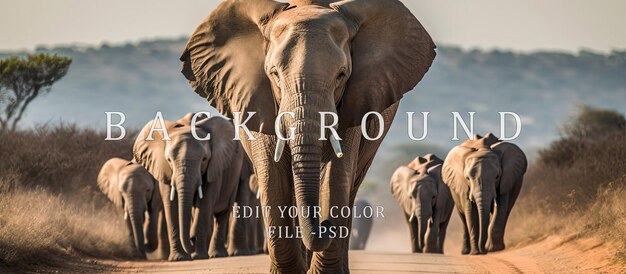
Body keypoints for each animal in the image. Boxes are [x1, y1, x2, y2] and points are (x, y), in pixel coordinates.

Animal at [133, 113, 243, 262]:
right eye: (169, 160)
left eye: (204, 159)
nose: (192, 239)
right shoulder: (164, 169)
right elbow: (171, 204)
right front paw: (178, 258)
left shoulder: (215, 165)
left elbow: (205, 203)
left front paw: (198, 256)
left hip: (234, 174)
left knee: (223, 212)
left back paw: (216, 254)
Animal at [180, 0, 434, 272]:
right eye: (274, 74)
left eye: (341, 75)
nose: (326, 225)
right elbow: (271, 172)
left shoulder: (354, 100)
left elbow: (337, 172)